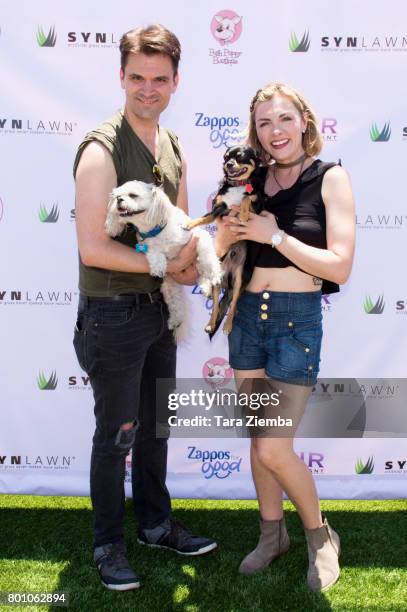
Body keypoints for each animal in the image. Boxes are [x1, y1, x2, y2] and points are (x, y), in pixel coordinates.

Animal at [103, 182, 222, 342]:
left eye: (133, 195)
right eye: (116, 195)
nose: (119, 200)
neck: (156, 230)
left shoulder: (199, 235)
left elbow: (207, 258)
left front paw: (214, 275)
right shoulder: (148, 246)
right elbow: (154, 253)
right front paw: (158, 266)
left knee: (202, 270)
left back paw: (207, 287)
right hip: (168, 286)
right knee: (176, 303)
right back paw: (176, 320)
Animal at [188, 145, 264, 334]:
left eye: (240, 156)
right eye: (226, 157)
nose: (228, 164)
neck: (237, 185)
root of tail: (228, 275)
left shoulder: (258, 208)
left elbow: (246, 197)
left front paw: (243, 213)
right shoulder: (219, 208)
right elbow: (204, 217)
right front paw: (189, 224)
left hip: (239, 279)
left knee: (234, 302)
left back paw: (229, 324)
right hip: (217, 281)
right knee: (216, 305)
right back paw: (210, 323)